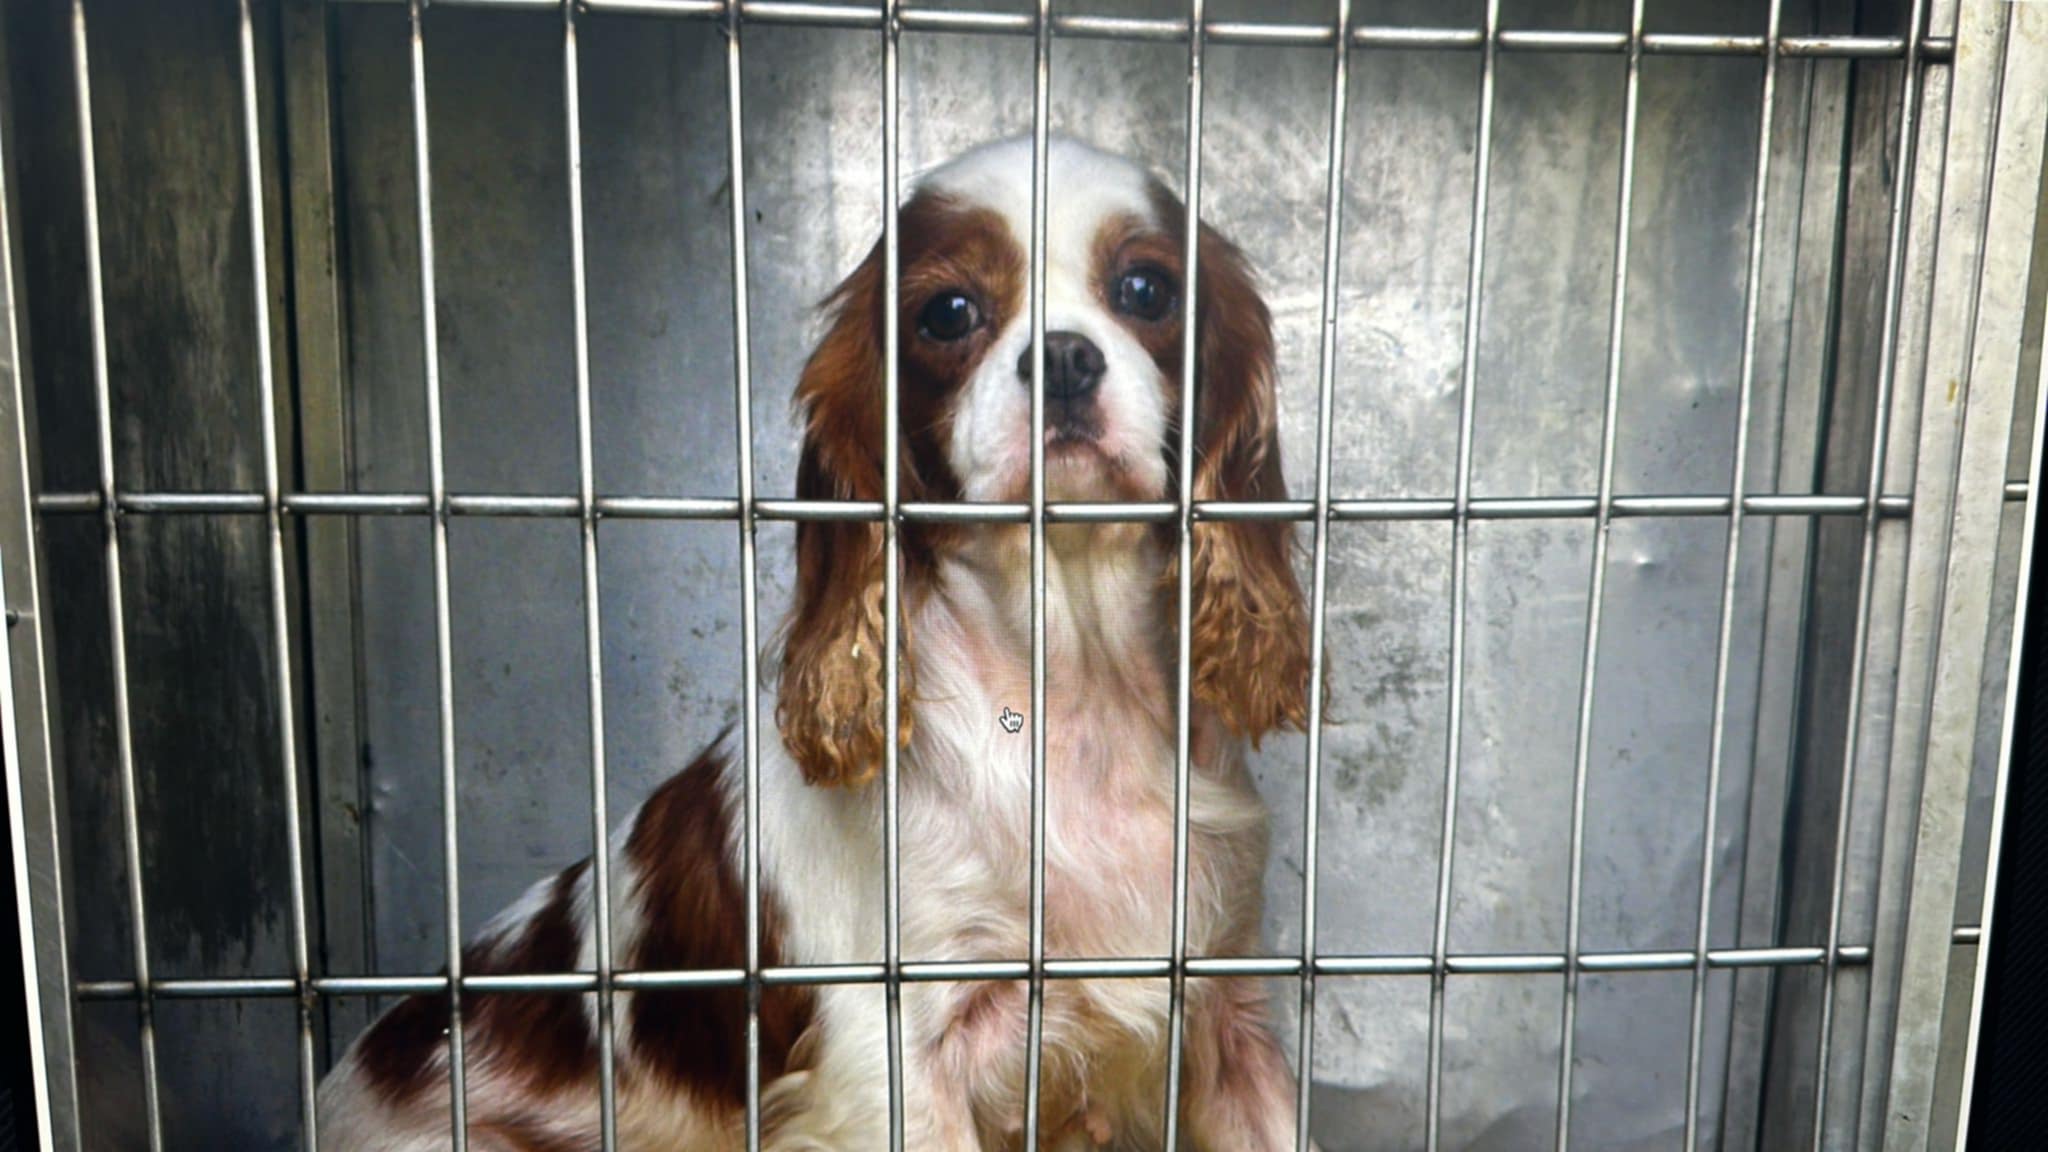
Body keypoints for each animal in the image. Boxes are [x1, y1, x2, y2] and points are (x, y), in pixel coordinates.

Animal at [317, 135, 1316, 1152]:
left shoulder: (1229, 1020)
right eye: (947, 313)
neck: (1068, 678)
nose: (1066, 358)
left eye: (1147, 290)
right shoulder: (893, 1061)